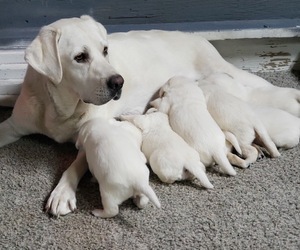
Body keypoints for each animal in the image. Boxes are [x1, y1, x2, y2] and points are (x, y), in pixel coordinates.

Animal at [0, 15, 300, 217]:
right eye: (80, 57)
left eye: (105, 50)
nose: (118, 82)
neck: (60, 106)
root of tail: (196, 36)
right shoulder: (15, 124)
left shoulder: (92, 133)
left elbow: (75, 164)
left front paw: (62, 192)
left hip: (228, 73)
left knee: (270, 89)